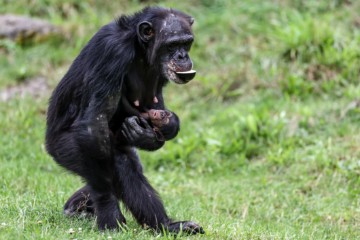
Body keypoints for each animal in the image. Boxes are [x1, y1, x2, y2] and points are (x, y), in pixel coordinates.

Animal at [44, 6, 202, 235]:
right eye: (172, 45)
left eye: (187, 42)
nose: (182, 56)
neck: (138, 46)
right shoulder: (112, 51)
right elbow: (94, 121)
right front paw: (109, 214)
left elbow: (153, 106)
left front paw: (151, 133)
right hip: (64, 148)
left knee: (126, 167)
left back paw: (166, 225)